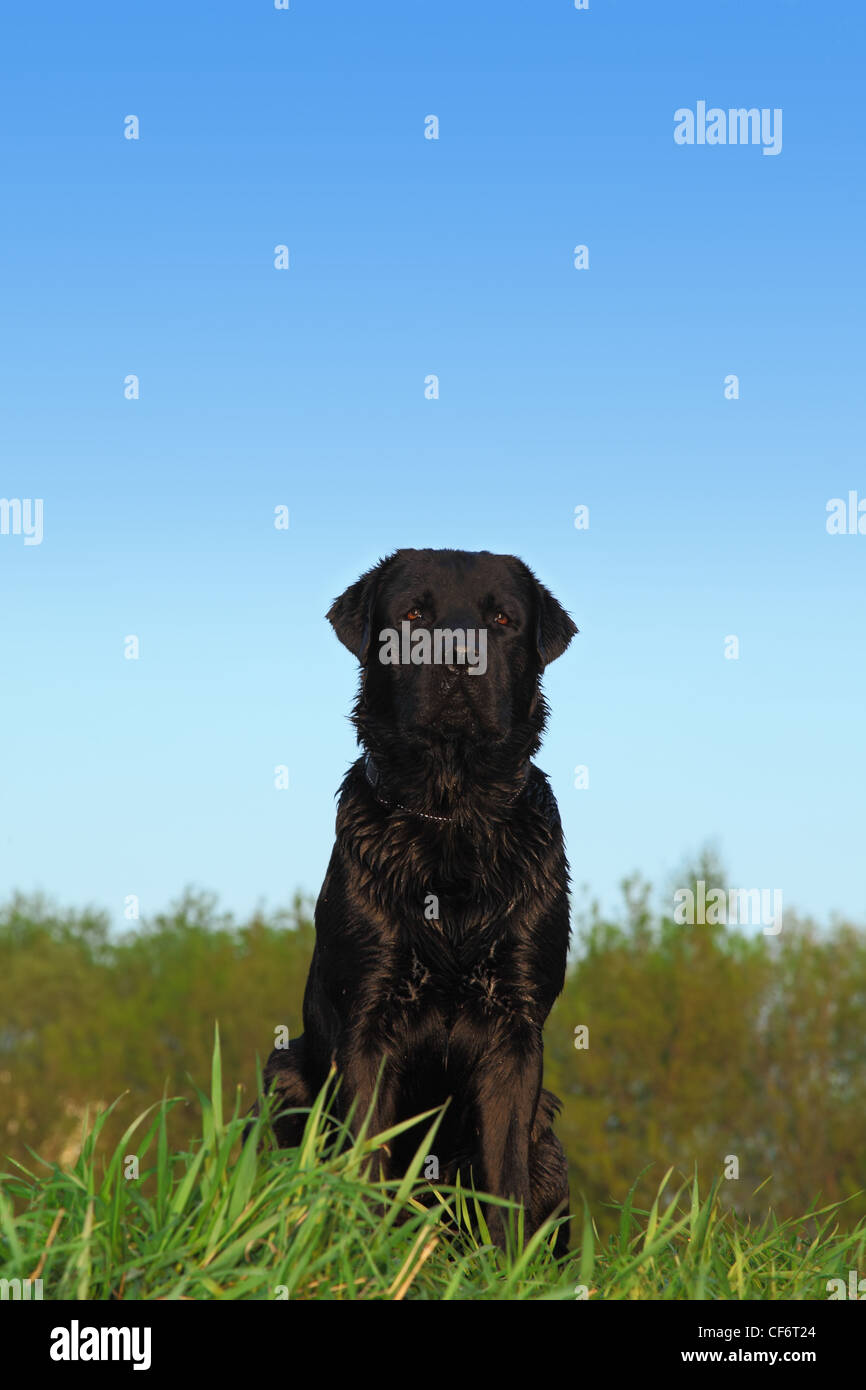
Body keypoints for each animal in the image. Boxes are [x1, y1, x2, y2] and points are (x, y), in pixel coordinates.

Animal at [261, 547, 578, 1256]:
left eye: (501, 619)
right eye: (412, 615)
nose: (459, 659)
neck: (452, 815)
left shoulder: (517, 1030)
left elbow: (504, 1180)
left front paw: (506, 1266)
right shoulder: (367, 1022)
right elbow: (365, 1166)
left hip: (550, 1133)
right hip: (283, 1073)